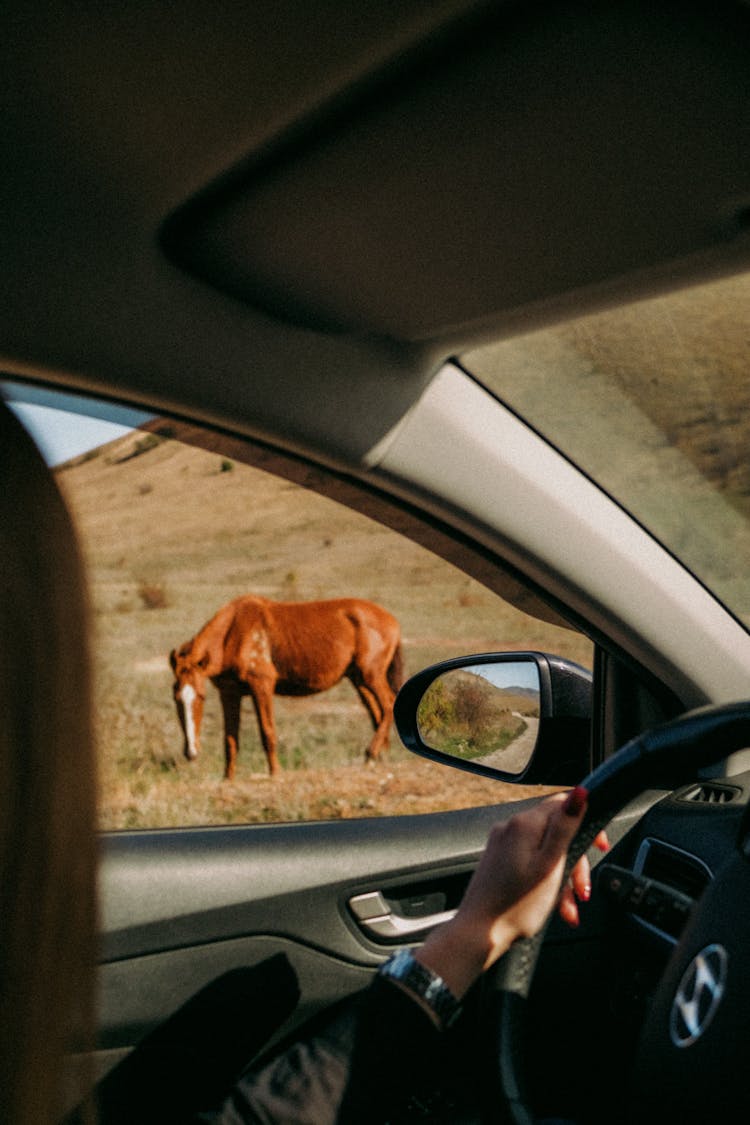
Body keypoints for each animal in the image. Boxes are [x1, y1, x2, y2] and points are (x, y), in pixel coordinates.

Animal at [169, 598, 404, 783]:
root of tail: (391, 620)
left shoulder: (261, 686)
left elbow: (267, 732)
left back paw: (371, 754)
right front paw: (228, 778)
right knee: (377, 713)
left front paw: (275, 772)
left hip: (371, 676)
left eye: (201, 696)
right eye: (177, 698)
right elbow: (230, 739)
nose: (191, 753)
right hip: (359, 680)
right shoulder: (229, 694)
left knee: (389, 705)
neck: (233, 632)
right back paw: (379, 757)